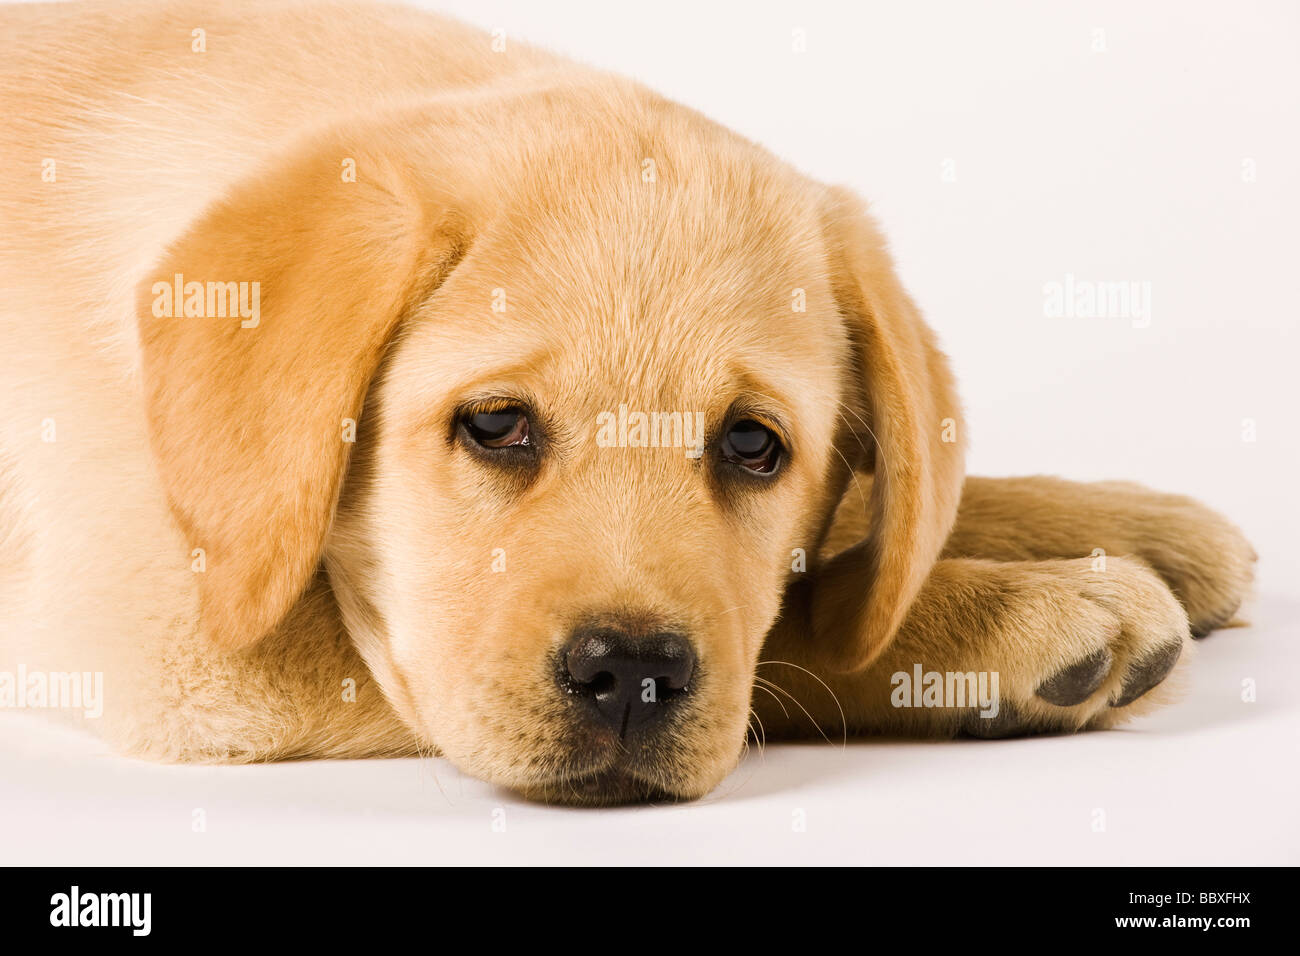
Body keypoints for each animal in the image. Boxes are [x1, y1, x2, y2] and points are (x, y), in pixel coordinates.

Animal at [2, 1, 1258, 806]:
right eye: (494, 425)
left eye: (754, 444)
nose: (629, 677)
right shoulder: (172, 641)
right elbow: (795, 631)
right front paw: (1027, 614)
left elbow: (876, 524)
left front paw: (1131, 526)